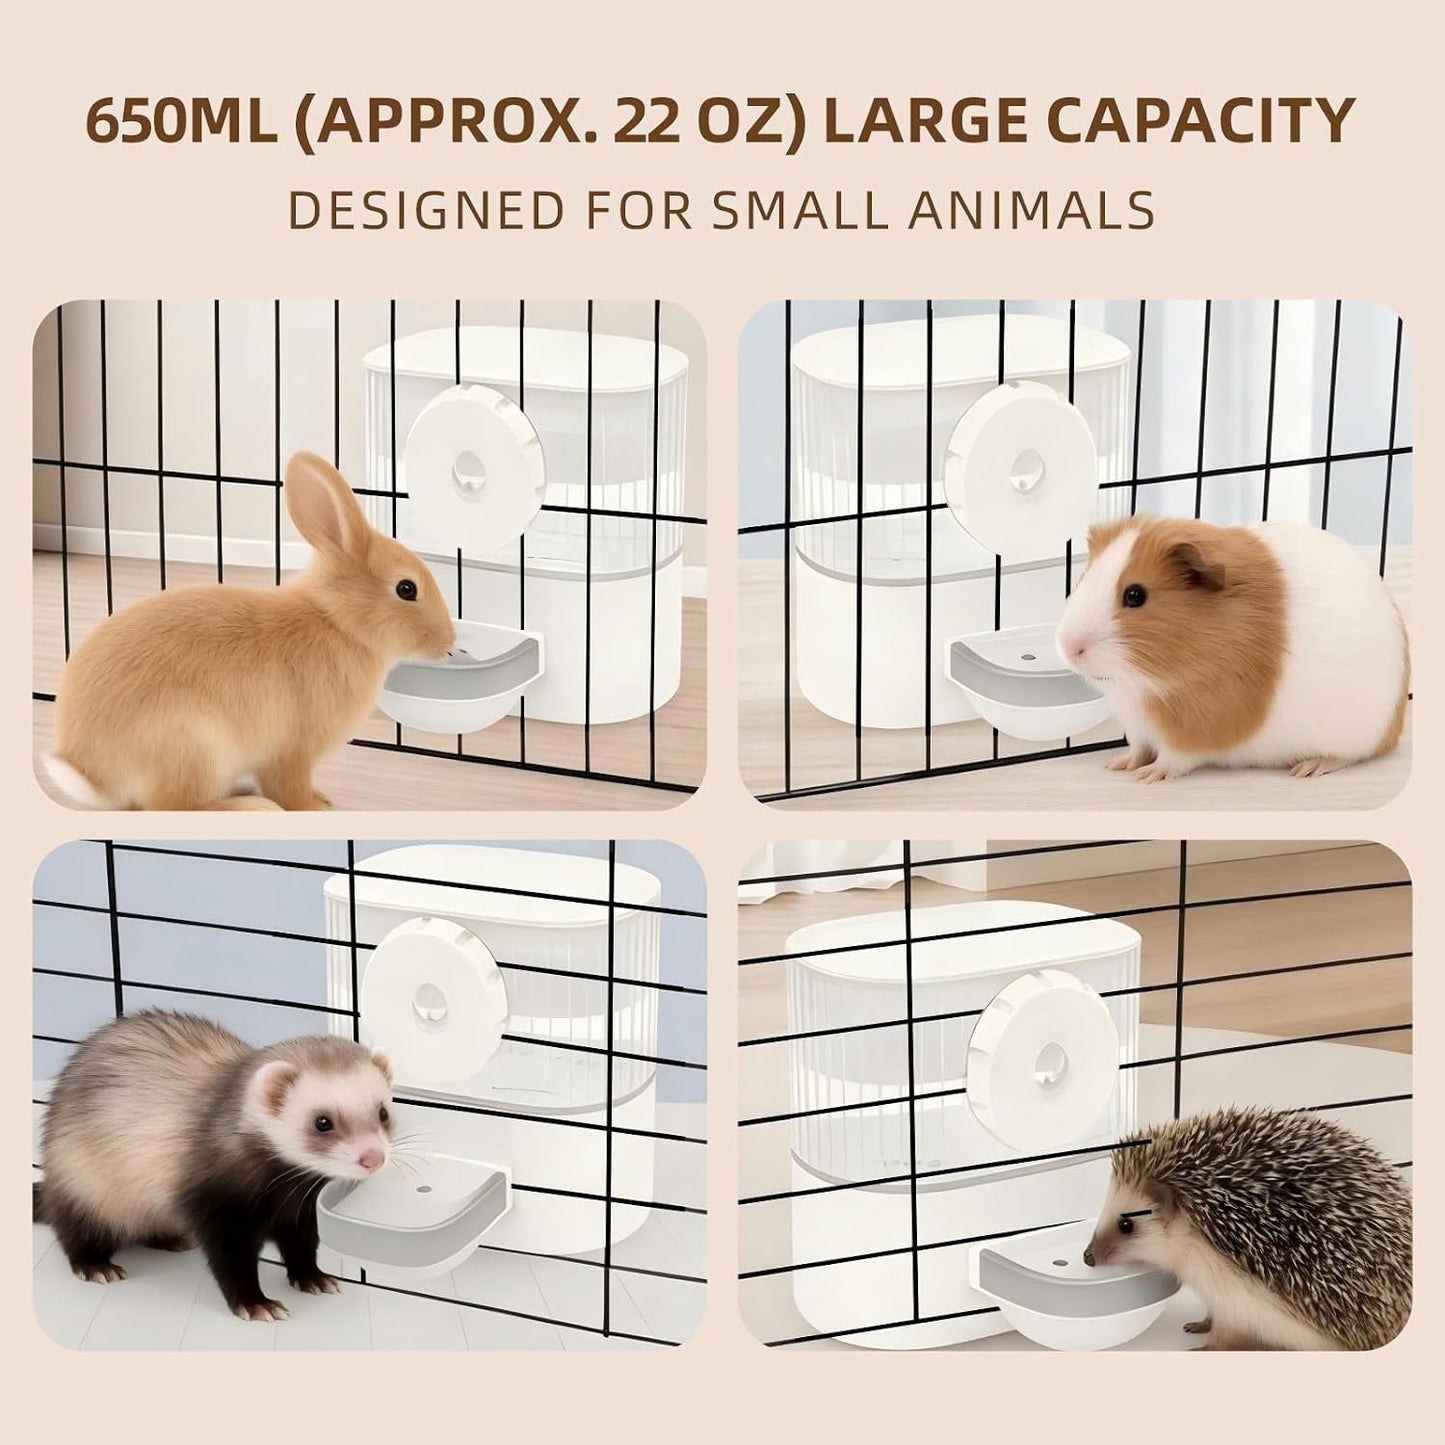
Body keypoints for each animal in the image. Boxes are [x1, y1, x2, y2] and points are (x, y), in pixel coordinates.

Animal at [43, 451, 455, 810]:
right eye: (407, 589)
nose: (449, 643)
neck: (337, 621)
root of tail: (94, 776)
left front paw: (321, 800)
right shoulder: (293, 750)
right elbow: (288, 787)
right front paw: (316, 807)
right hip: (194, 744)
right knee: (172, 805)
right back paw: (251, 807)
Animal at [1054, 515, 1409, 783]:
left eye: (1135, 595)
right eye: (1084, 579)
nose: (1069, 647)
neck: (1141, 683)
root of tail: (1394, 729)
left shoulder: (1197, 727)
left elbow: (1173, 758)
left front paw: (1149, 776)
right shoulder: (1139, 727)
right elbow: (1138, 749)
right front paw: (1118, 765)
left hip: (1353, 739)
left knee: (1349, 757)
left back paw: (1307, 769)